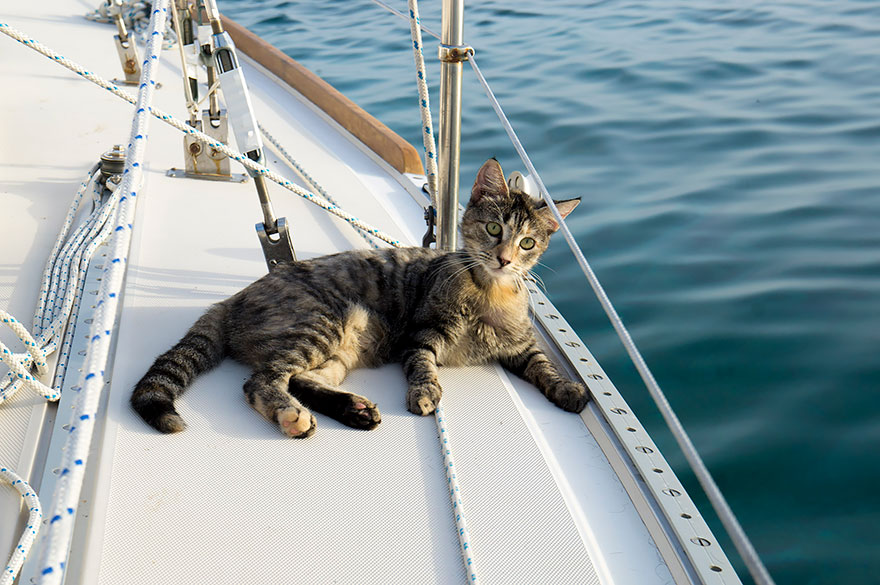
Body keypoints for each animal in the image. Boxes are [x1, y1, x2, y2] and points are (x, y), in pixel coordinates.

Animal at [132, 157, 584, 436]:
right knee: (262, 380)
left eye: (527, 242)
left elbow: (543, 365)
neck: (490, 291)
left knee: (302, 379)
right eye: (493, 229)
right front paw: (424, 393)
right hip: (323, 323)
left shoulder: (522, 345)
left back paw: (353, 410)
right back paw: (292, 416)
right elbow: (423, 368)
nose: (505, 259)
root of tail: (235, 298)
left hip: (343, 347)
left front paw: (568, 388)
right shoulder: (422, 336)